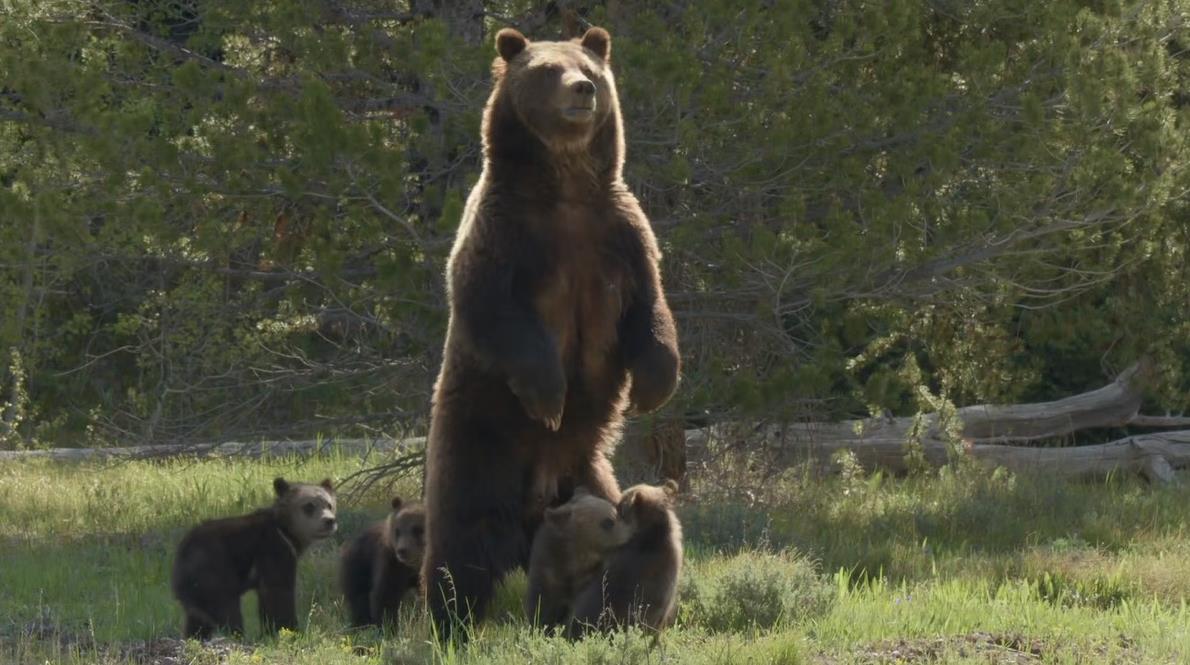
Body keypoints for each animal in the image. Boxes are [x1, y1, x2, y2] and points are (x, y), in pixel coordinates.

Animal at [170, 475, 335, 637]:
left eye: (329, 505)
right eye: (309, 506)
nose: (329, 521)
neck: (286, 532)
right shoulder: (272, 549)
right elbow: (278, 593)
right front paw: (290, 629)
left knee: (198, 619)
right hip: (213, 571)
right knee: (226, 609)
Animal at [337, 494, 426, 628]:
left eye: (417, 530)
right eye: (397, 531)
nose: (402, 550)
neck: (413, 565)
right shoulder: (391, 562)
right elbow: (386, 594)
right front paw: (388, 626)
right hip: (358, 564)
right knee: (358, 597)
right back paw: (360, 623)